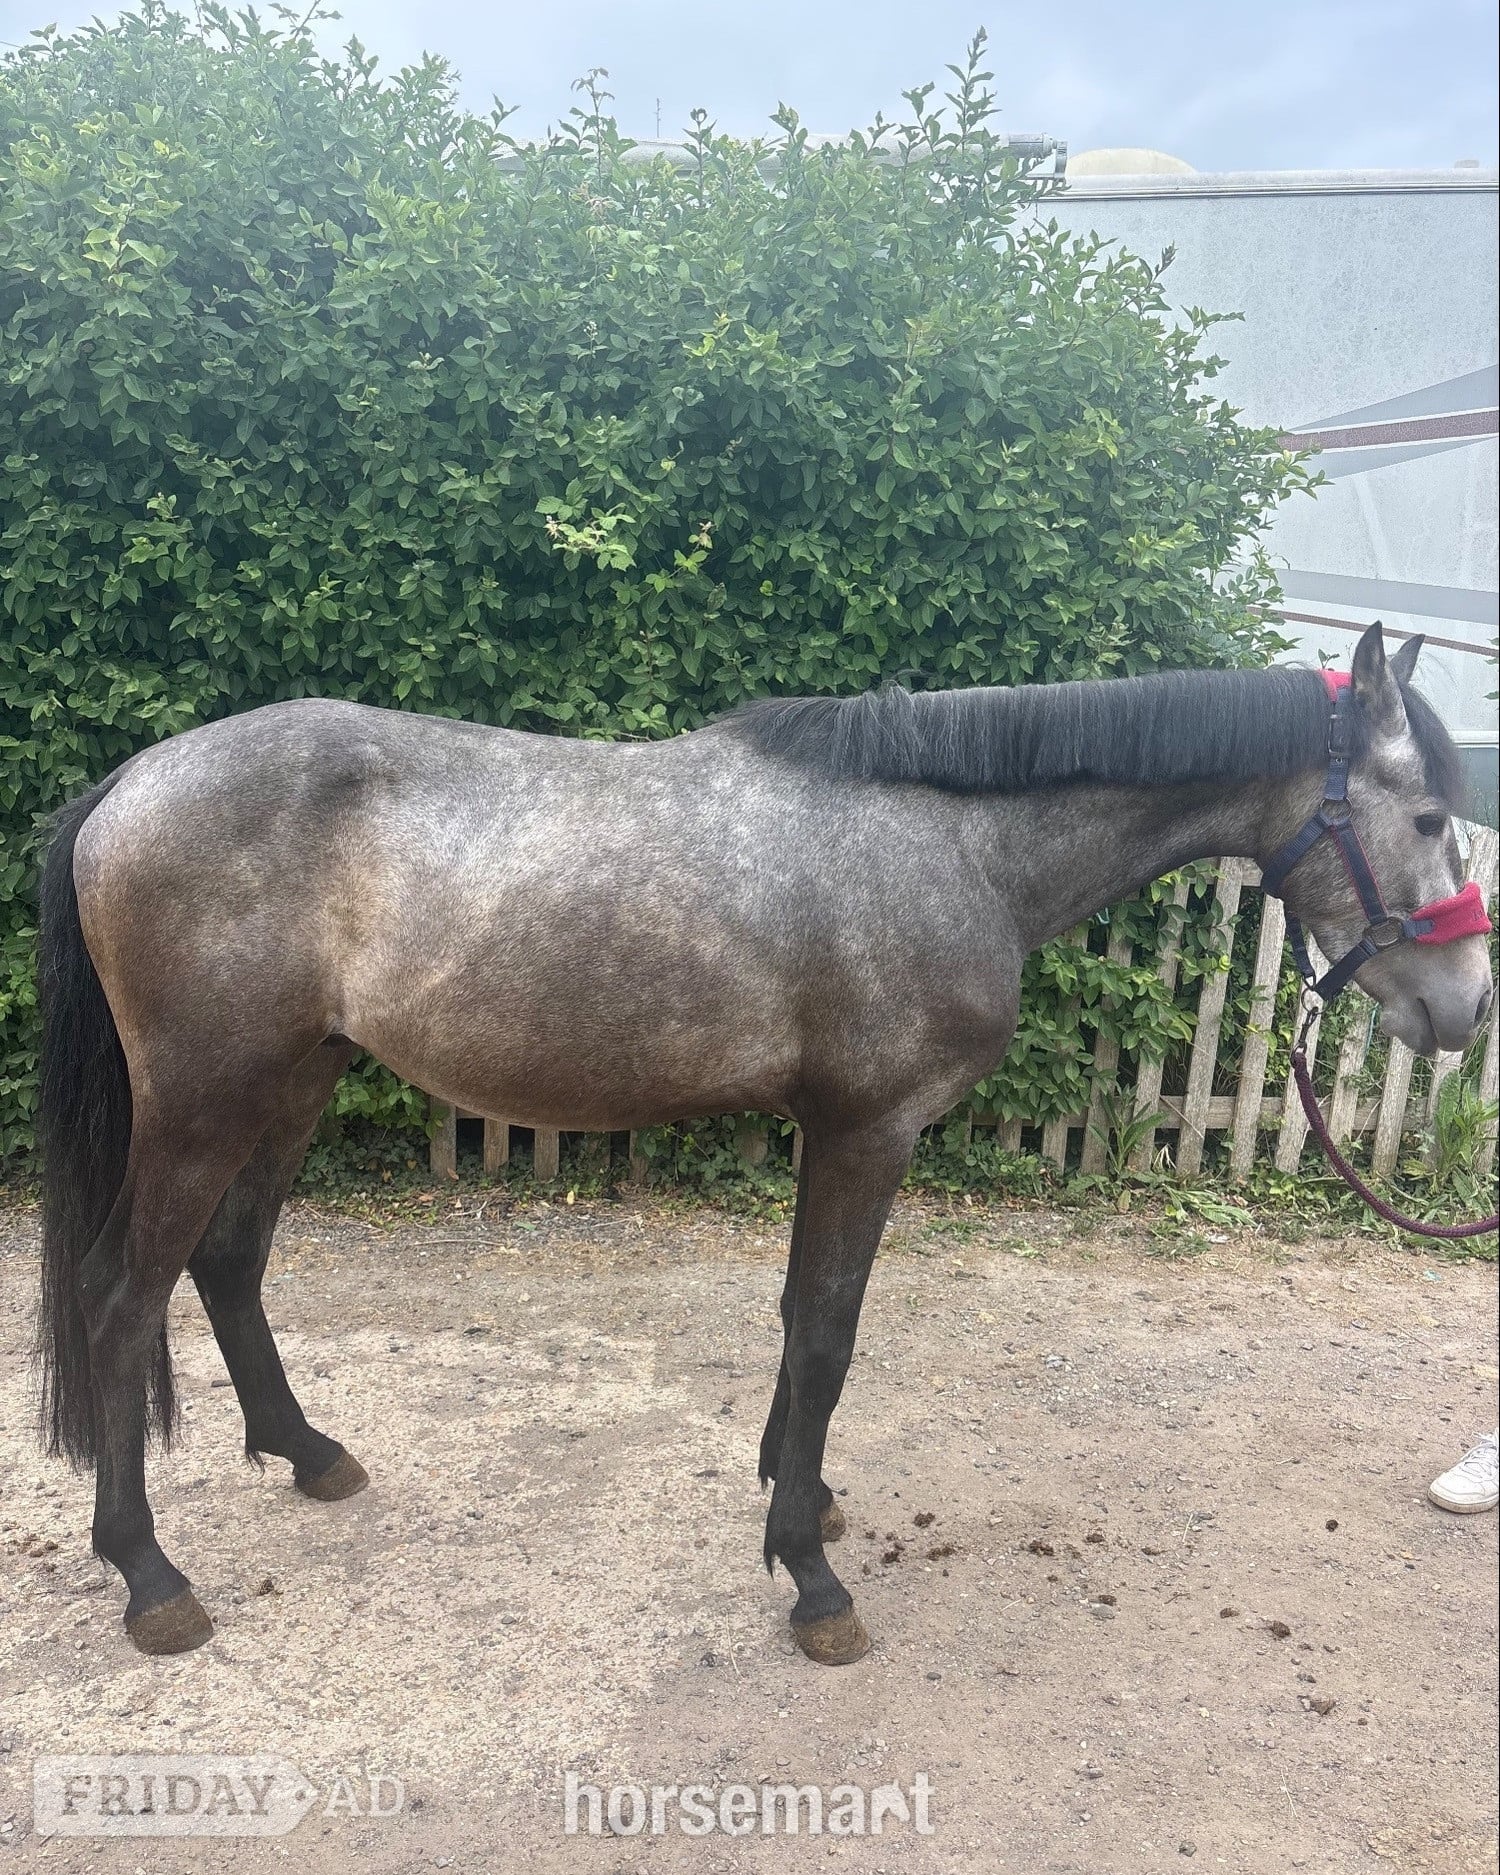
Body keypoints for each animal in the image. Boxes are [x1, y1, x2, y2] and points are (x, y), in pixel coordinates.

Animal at [33, 622, 1493, 1665]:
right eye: (1430, 817)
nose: (1465, 1007)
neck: (954, 838)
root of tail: (129, 782)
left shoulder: (827, 1129)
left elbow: (800, 1322)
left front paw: (804, 1495)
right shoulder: (869, 1128)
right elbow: (831, 1331)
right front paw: (812, 1575)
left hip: (293, 1082)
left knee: (227, 1265)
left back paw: (309, 1452)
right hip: (207, 1101)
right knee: (118, 1297)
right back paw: (151, 1578)